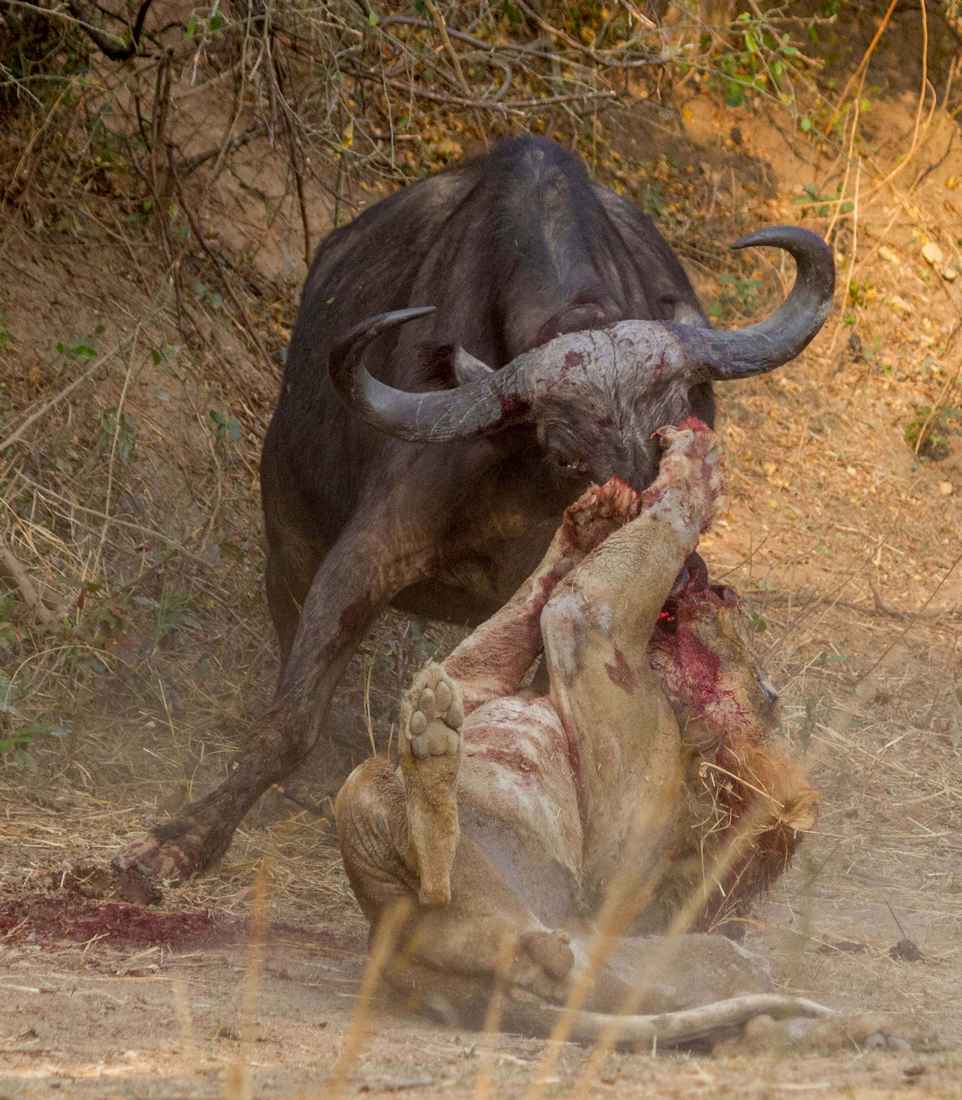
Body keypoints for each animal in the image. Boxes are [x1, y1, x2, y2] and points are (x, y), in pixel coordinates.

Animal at [112, 137, 835, 893]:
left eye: (680, 425)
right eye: (566, 452)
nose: (673, 580)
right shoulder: (361, 557)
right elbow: (290, 720)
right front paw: (180, 838)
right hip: (286, 554)